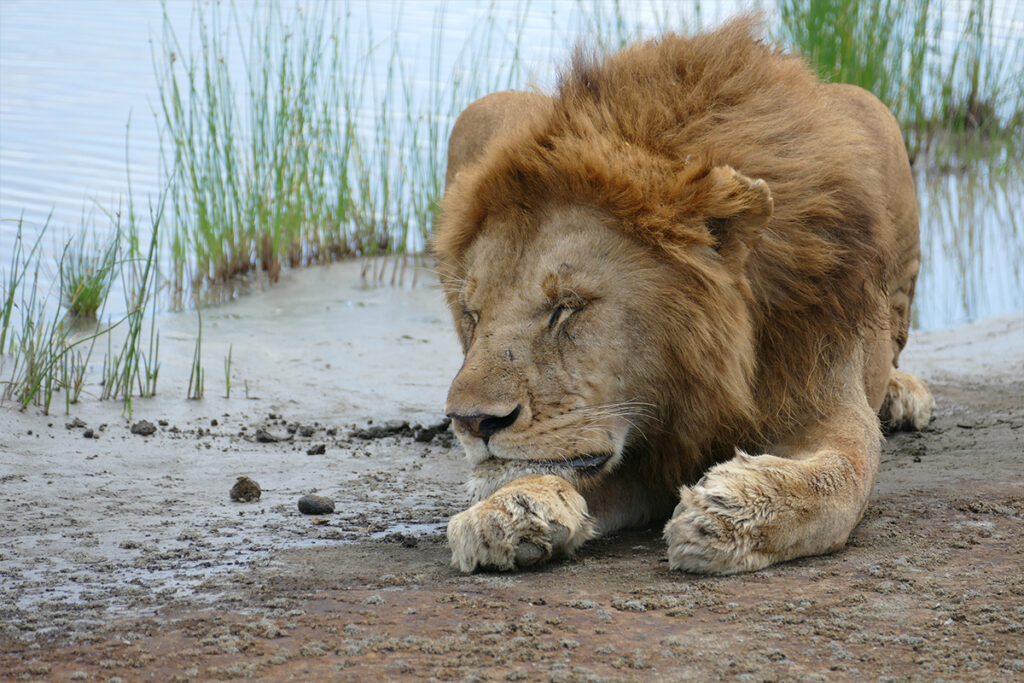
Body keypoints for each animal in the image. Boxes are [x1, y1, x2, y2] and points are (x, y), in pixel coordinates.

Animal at [432, 17, 937, 577]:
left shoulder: (827, 398)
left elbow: (840, 475)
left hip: (878, 120)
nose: (472, 422)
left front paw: (731, 512)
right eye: (473, 315)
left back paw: (901, 393)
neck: (692, 385)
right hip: (482, 110)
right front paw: (511, 508)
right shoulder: (642, 444)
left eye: (567, 307)